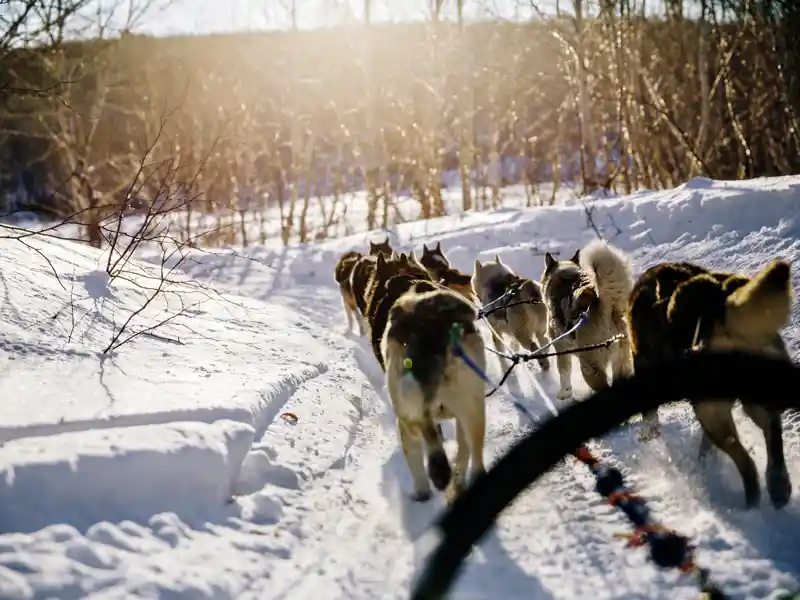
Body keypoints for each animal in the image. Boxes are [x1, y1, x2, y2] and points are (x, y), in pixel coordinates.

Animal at [540, 239, 636, 398]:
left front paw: (564, 393)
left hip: (589, 368)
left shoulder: (561, 349)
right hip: (623, 361)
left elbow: (564, 372)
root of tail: (605, 307)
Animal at [632, 260, 792, 508]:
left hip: (713, 413)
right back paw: (777, 484)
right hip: (753, 395)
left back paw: (751, 502)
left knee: (743, 459)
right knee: (771, 430)